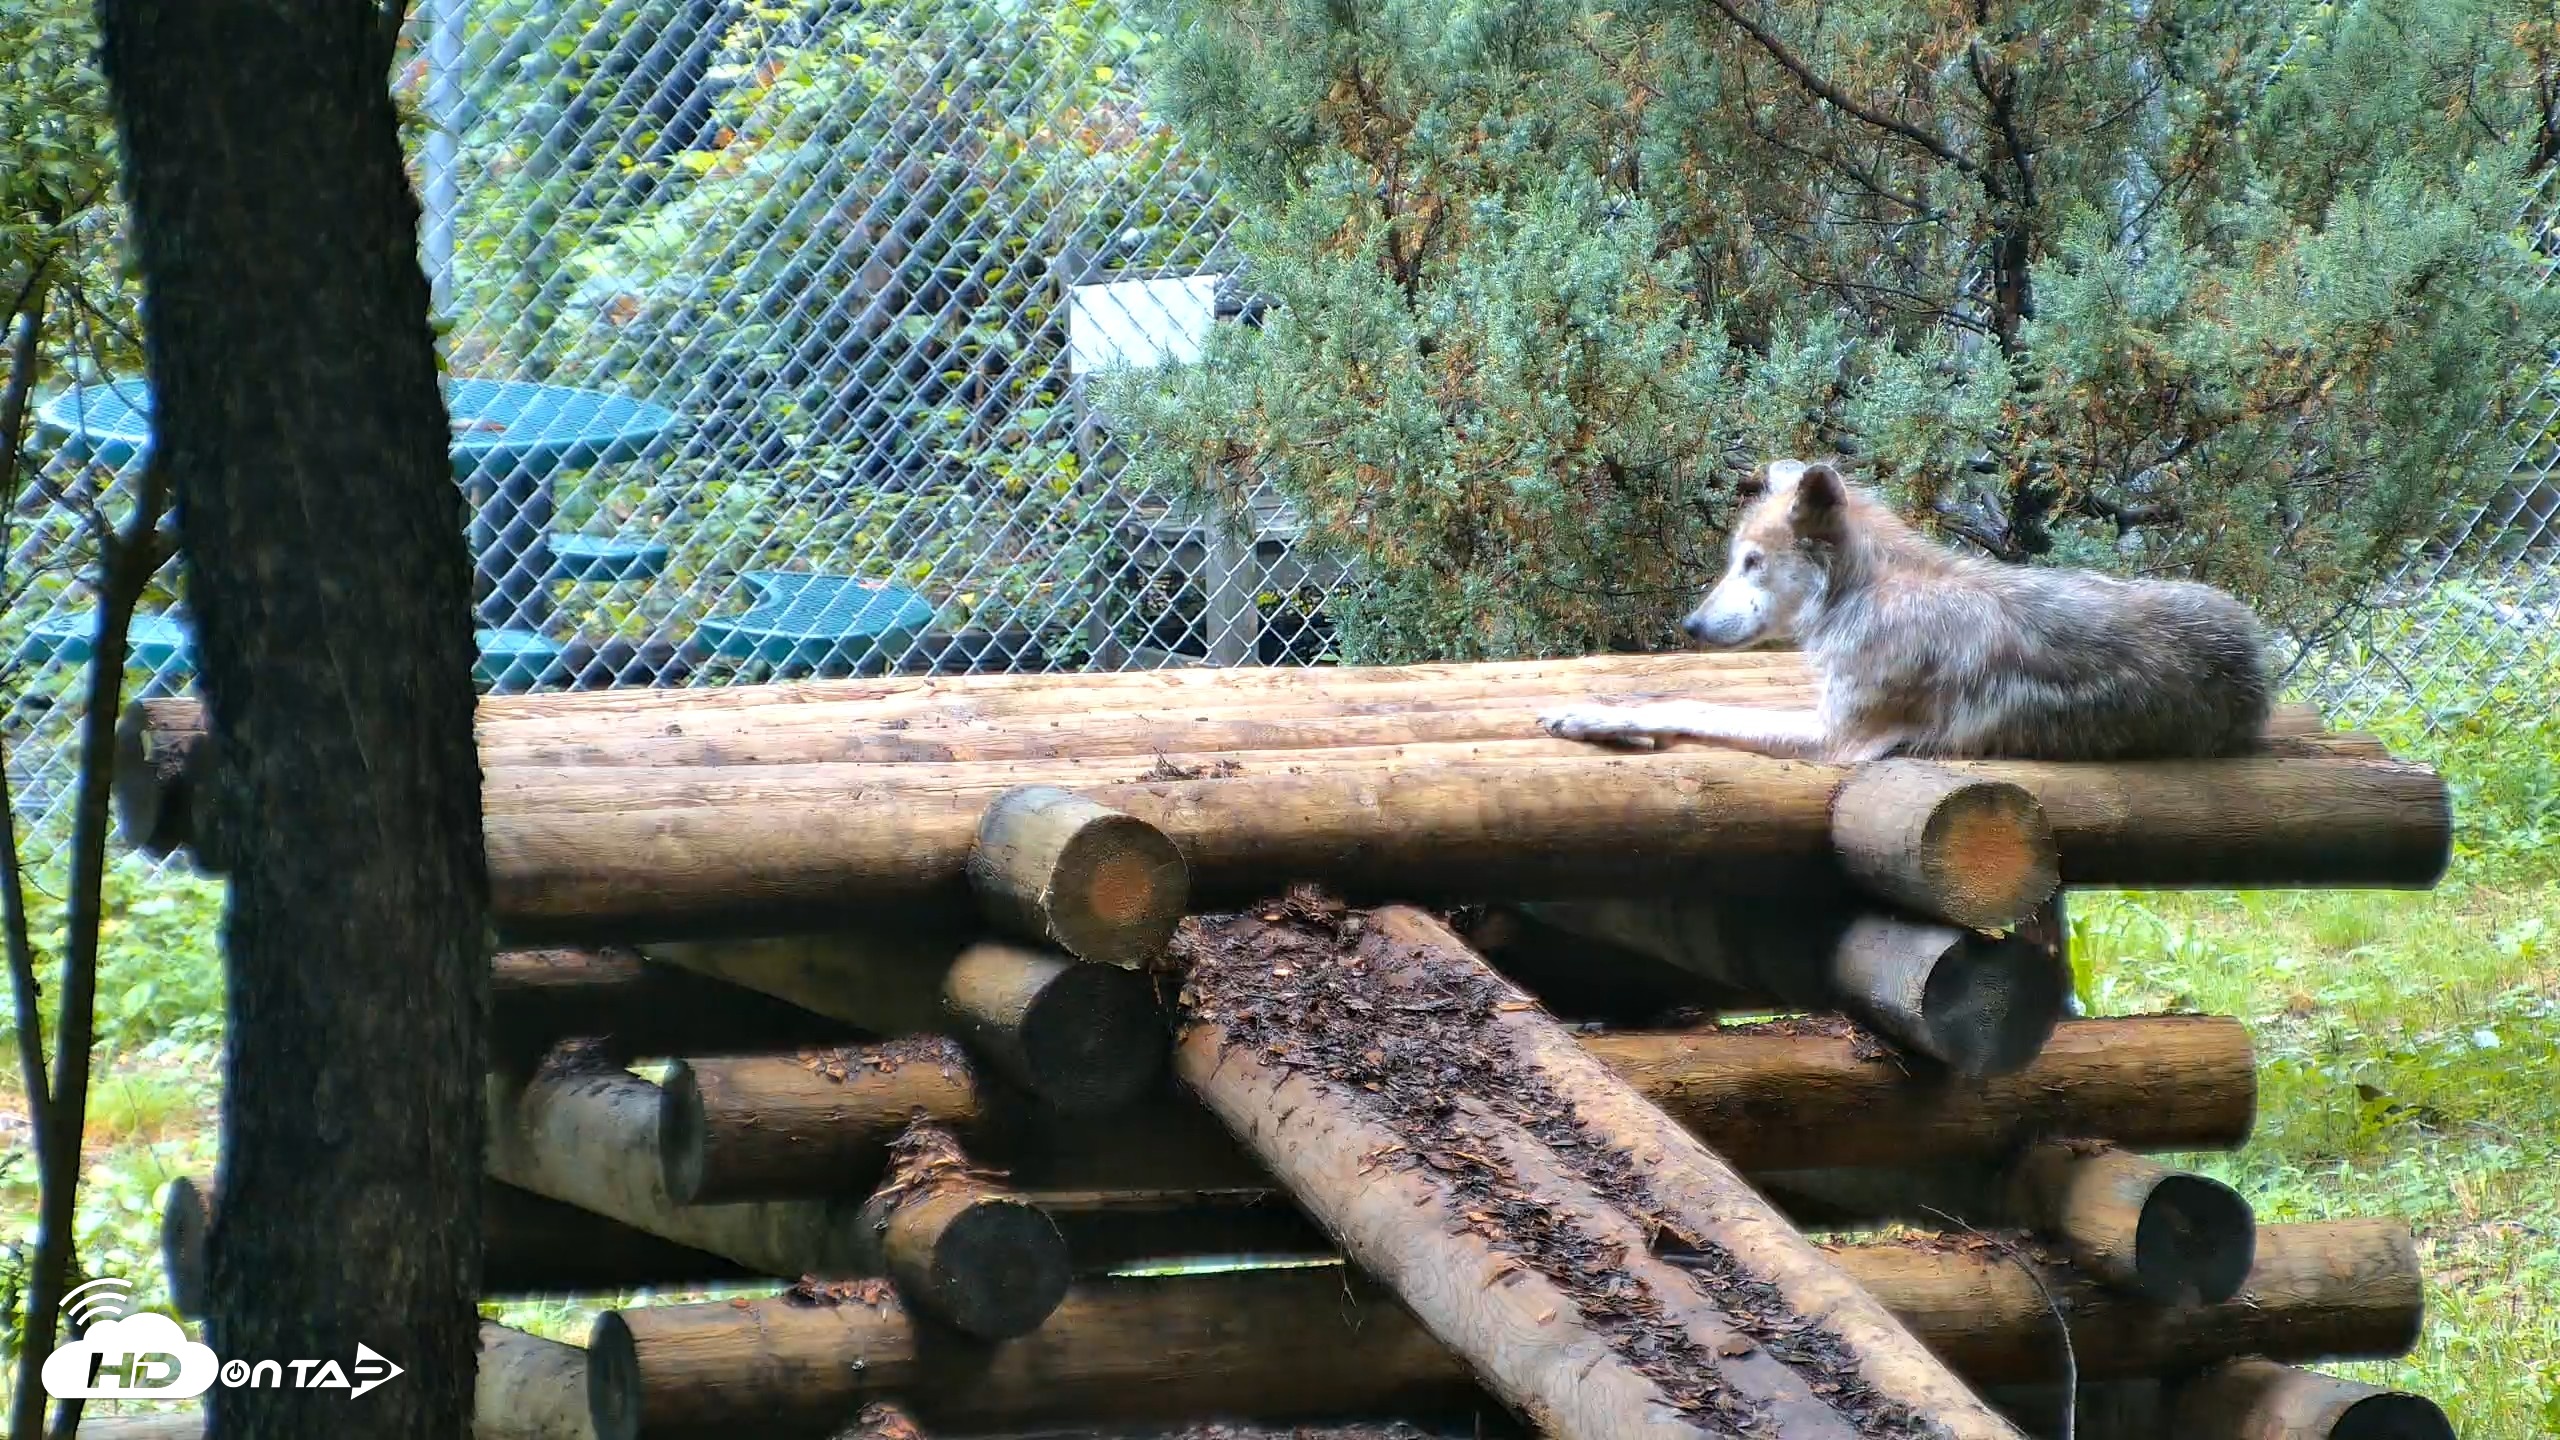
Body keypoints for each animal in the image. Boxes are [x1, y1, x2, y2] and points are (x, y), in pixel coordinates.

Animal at [1537, 458, 2275, 763]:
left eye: (1751, 562)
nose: (1689, 626)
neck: (1860, 594)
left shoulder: (1836, 738)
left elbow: (1692, 706)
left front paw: (1592, 716)